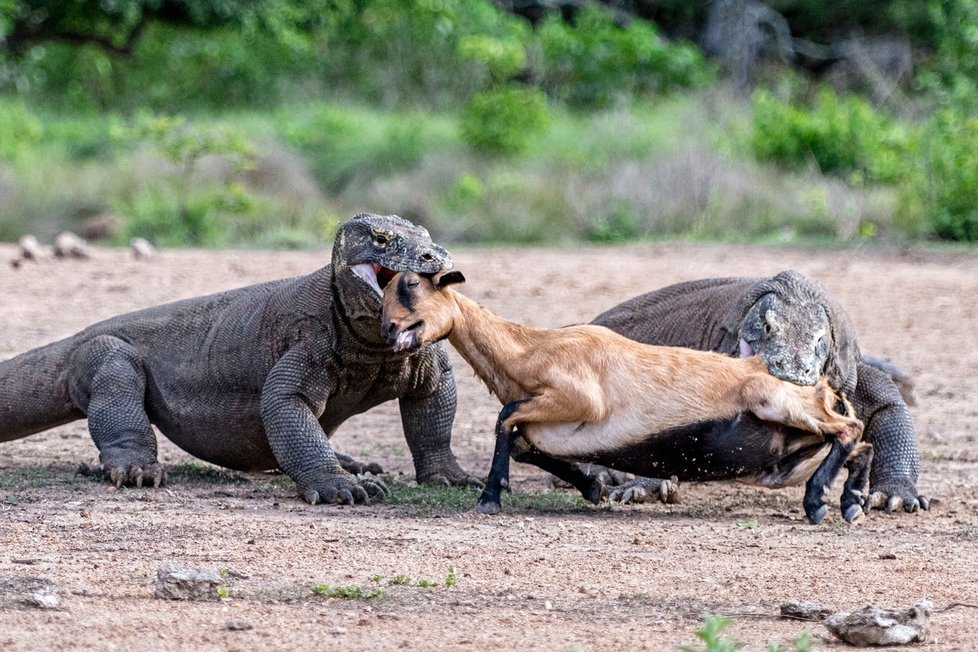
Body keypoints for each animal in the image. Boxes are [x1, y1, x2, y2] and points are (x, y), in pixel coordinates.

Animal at [382, 270, 860, 520]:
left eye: (412, 286)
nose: (388, 329)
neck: (529, 351)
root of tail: (823, 389)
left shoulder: (580, 398)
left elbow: (506, 417)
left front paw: (489, 497)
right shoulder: (549, 426)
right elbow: (519, 440)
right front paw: (592, 486)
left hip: (775, 401)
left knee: (850, 430)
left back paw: (821, 503)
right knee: (854, 441)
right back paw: (848, 501)